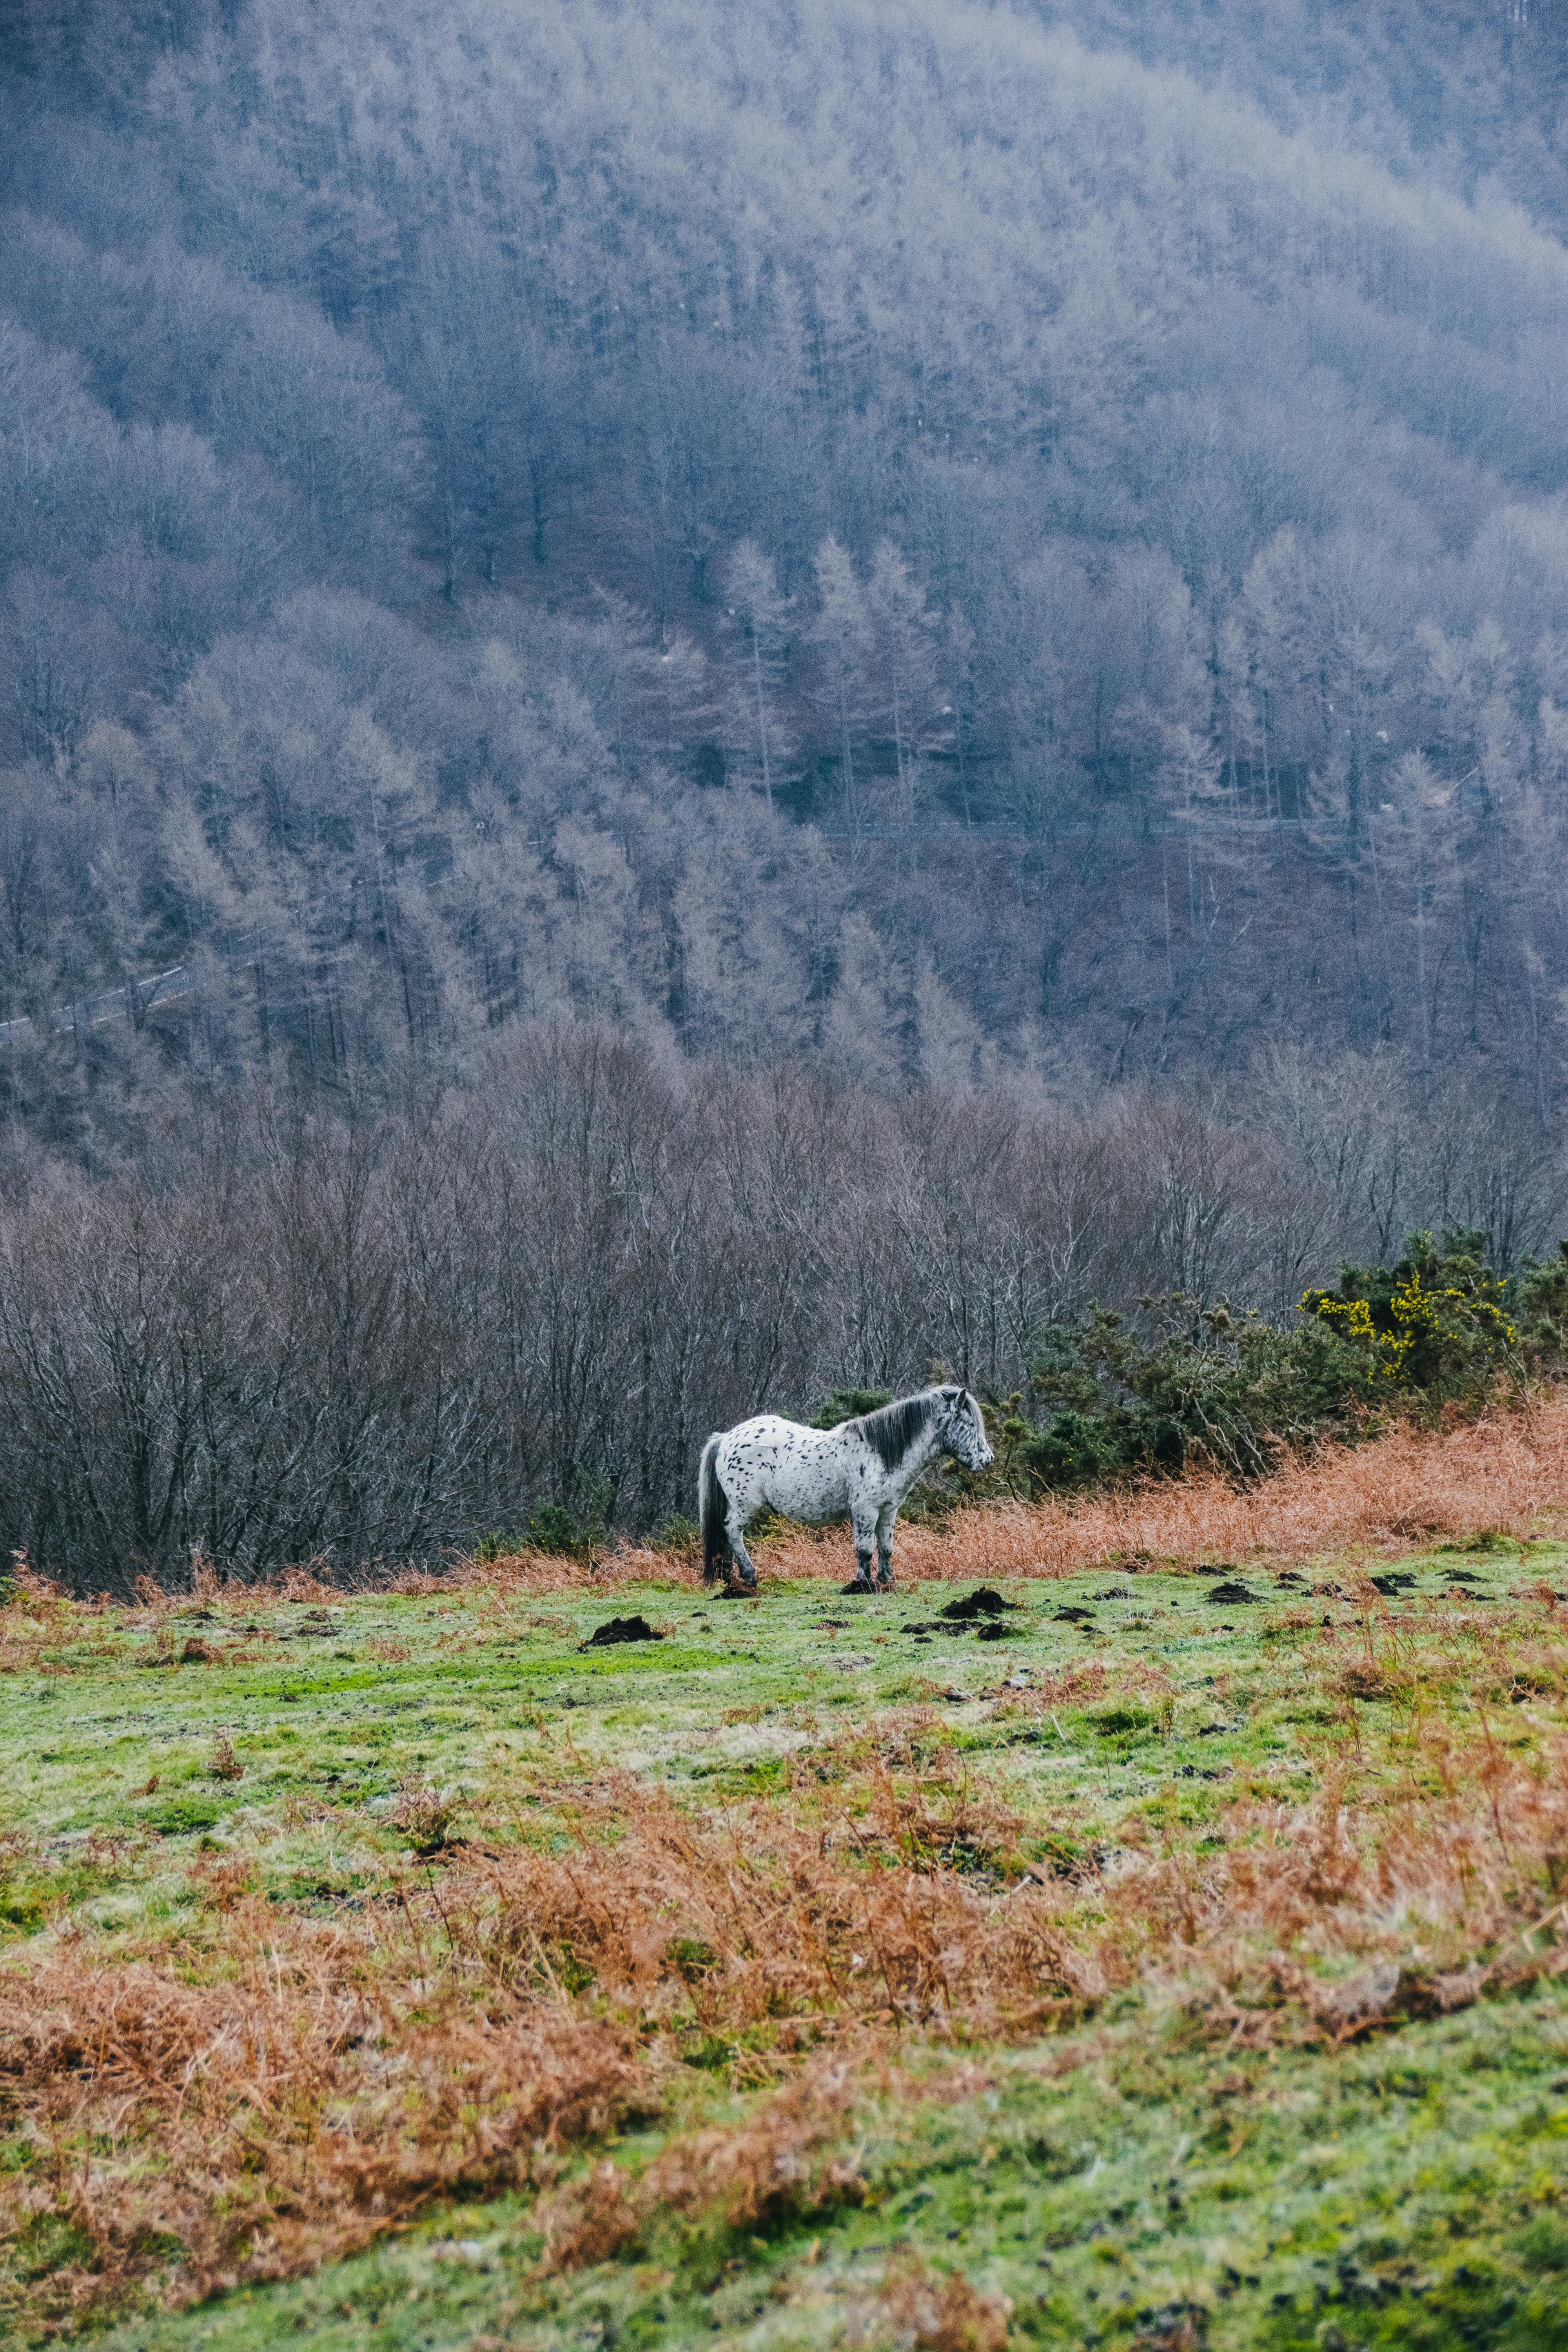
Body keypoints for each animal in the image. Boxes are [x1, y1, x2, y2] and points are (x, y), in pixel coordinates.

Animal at [698, 1385, 994, 1593]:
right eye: (970, 1424)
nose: (988, 1460)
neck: (881, 1452)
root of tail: (726, 1439)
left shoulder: (888, 1510)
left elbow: (886, 1547)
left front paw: (888, 1582)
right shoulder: (865, 1510)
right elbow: (864, 1549)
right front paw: (863, 1584)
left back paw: (731, 1579)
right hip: (745, 1506)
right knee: (733, 1531)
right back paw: (748, 1577)